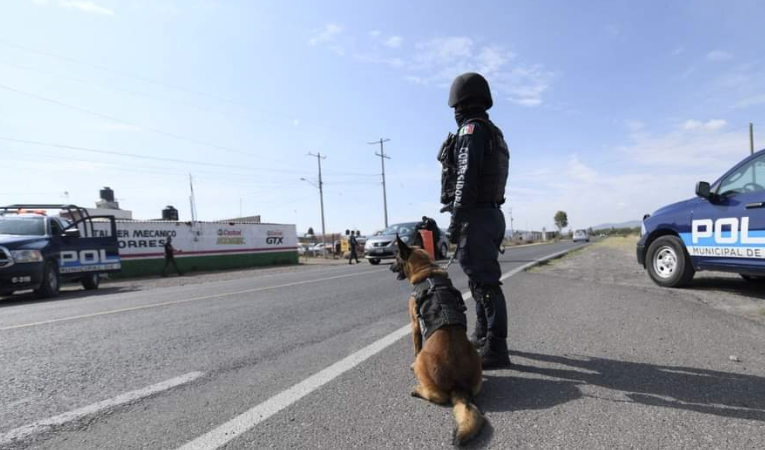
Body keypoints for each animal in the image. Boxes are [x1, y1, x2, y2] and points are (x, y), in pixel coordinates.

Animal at [390, 237, 480, 444]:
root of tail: (458, 386)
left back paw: (417, 389)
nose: (389, 267)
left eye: (396, 257)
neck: (427, 270)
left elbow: (415, 347)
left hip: (424, 364)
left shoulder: (415, 325)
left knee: (437, 396)